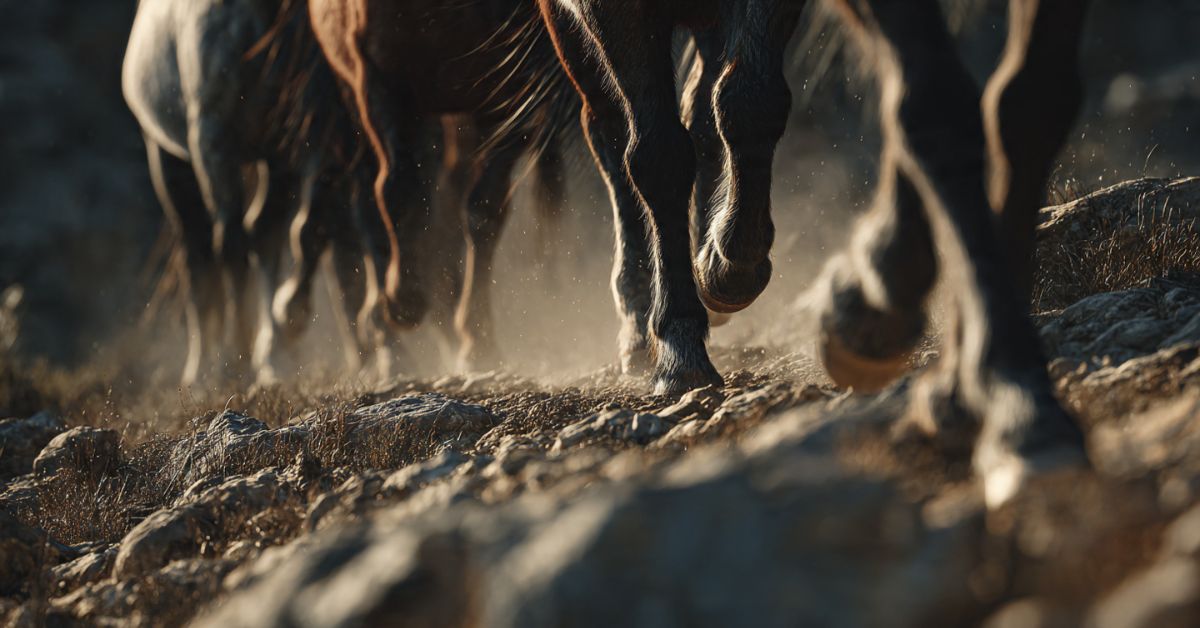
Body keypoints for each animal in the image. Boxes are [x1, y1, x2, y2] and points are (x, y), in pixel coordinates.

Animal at [537, 0, 1090, 507]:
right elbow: (654, 154)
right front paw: (678, 344)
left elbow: (748, 100)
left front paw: (730, 266)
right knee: (609, 128)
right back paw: (641, 323)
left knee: (700, 99)